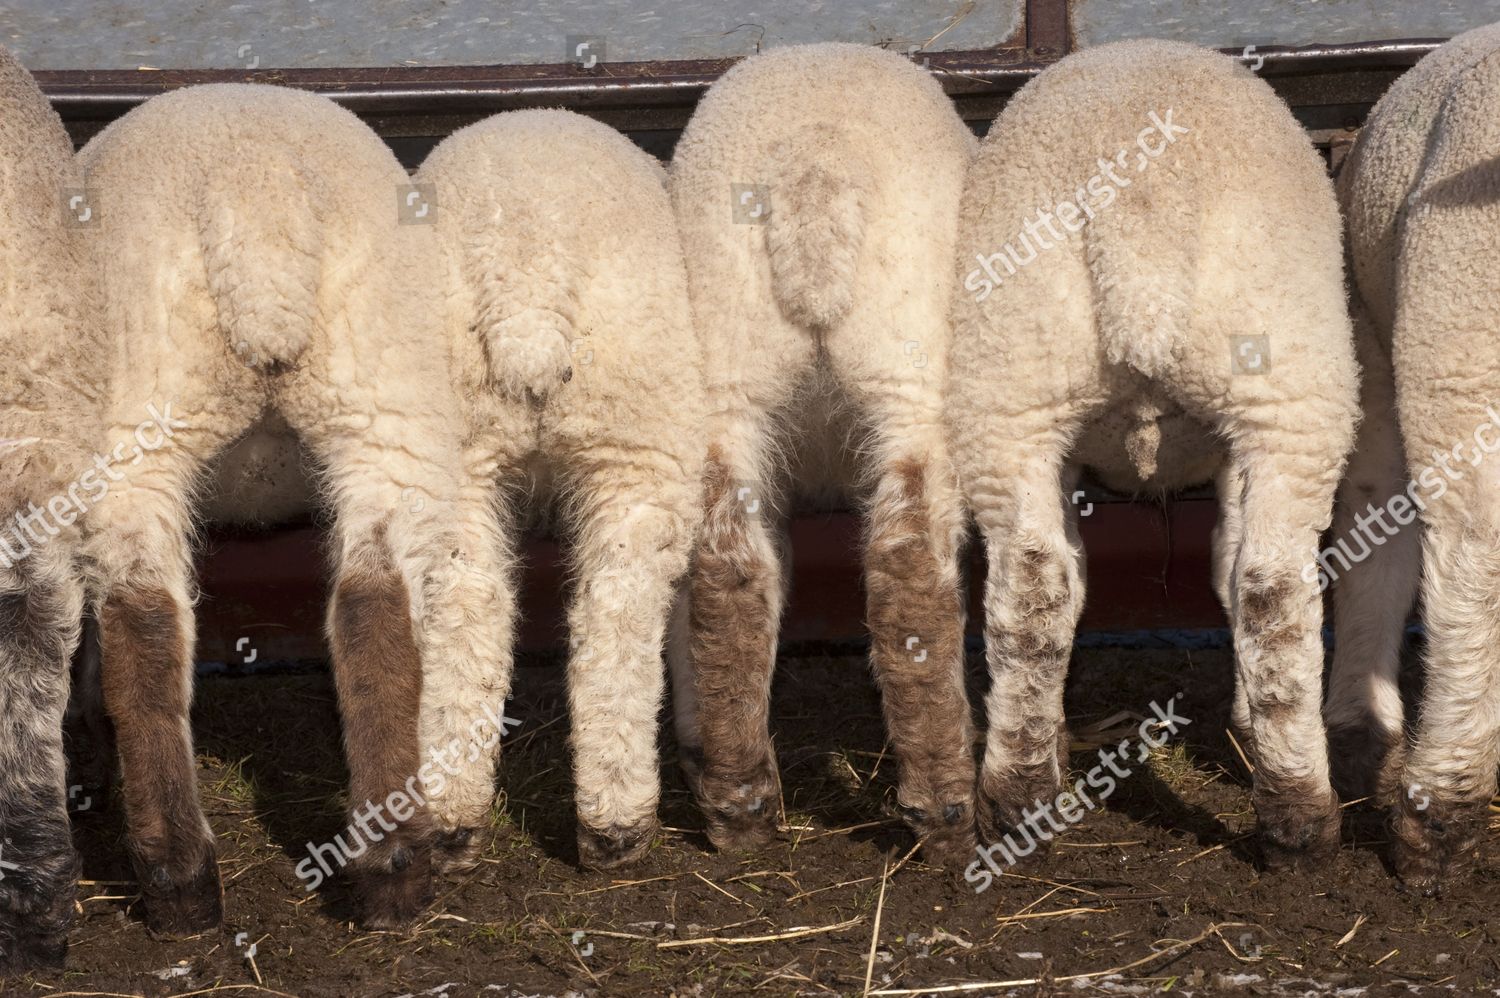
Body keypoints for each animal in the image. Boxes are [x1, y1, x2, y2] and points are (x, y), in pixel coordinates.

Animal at [76, 83, 470, 931]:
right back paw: (383, 869)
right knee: (363, 609)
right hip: (379, 403)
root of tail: (255, 193)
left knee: (138, 622)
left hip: (143, 410)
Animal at [413, 109, 705, 868]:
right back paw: (616, 826)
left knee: (467, 608)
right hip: (637, 439)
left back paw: (451, 820)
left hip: (453, 448)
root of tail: (526, 287)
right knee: (618, 619)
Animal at [667, 43, 979, 864]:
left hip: (728, 371)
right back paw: (945, 808)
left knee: (726, 571)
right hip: (909, 371)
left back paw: (739, 804)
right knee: (909, 565)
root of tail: (813, 167)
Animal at [946, 40, 1359, 868]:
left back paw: (1018, 800)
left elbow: (1086, 573)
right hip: (1293, 394)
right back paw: (1301, 821)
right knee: (1278, 590)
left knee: (1029, 587)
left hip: (1013, 381)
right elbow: (1228, 560)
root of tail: (1140, 206)